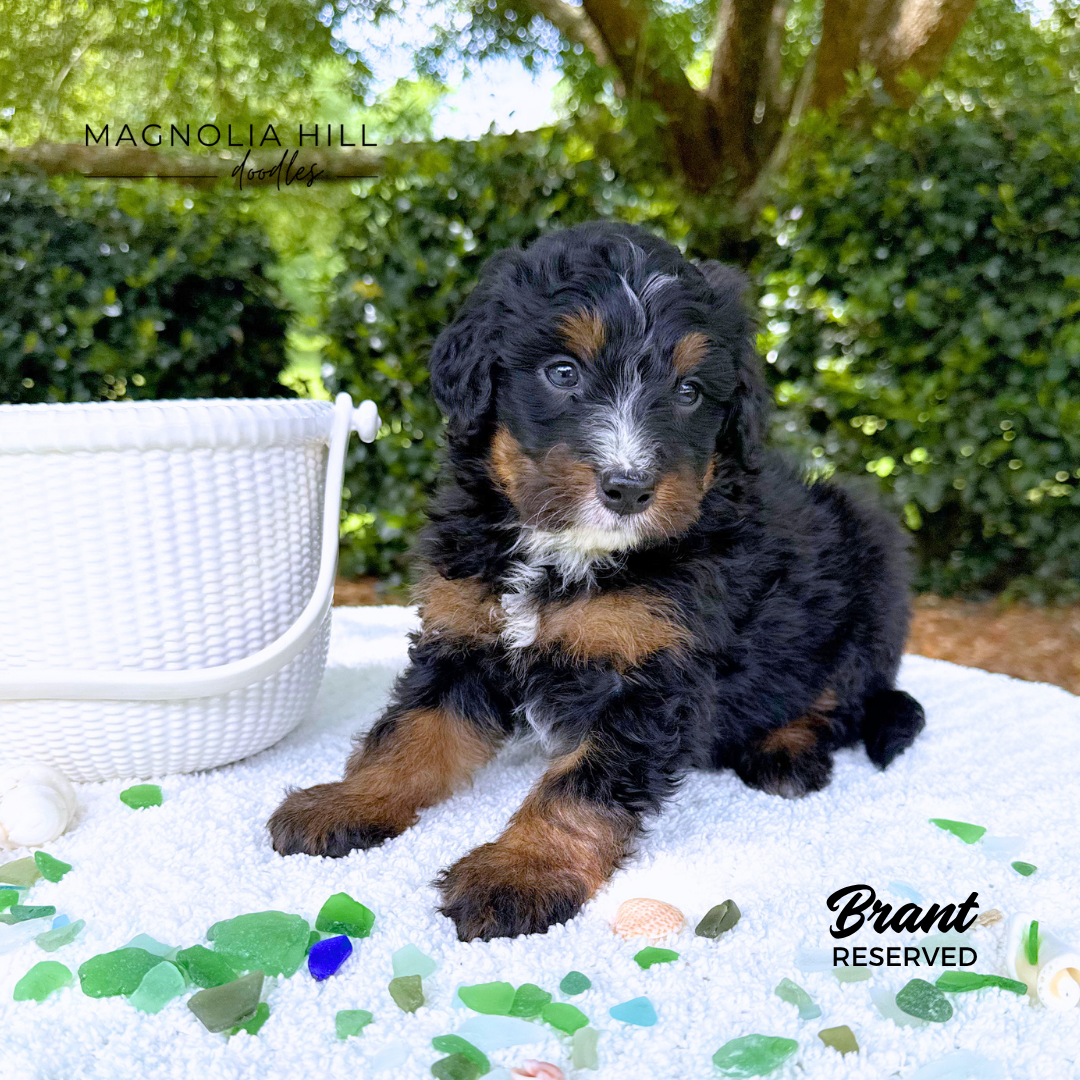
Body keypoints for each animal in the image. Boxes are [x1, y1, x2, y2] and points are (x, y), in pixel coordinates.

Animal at [268, 221, 926, 942]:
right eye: (563, 373)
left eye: (690, 391)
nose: (629, 487)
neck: (567, 552)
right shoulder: (465, 634)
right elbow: (411, 731)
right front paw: (350, 800)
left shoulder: (648, 677)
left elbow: (580, 787)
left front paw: (520, 872)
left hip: (875, 567)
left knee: (842, 692)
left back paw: (786, 749)